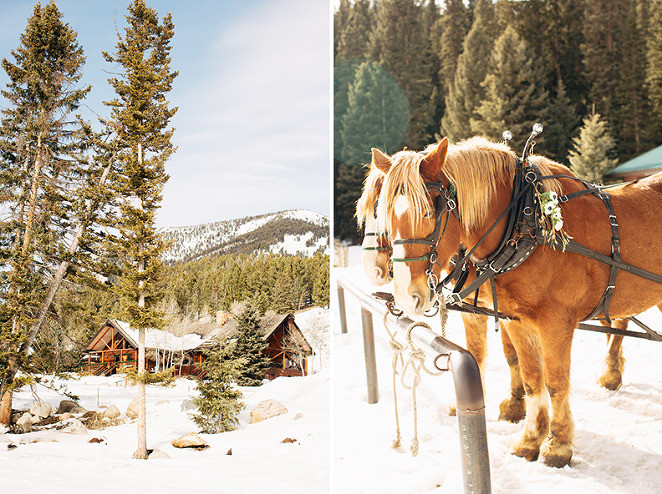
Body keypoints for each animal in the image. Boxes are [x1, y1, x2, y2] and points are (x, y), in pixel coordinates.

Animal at [374, 136, 662, 466]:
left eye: (427, 213)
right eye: (385, 217)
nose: (407, 294)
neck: (527, 224)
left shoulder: (555, 322)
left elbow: (555, 381)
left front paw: (558, 444)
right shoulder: (516, 319)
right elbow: (530, 376)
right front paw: (530, 437)